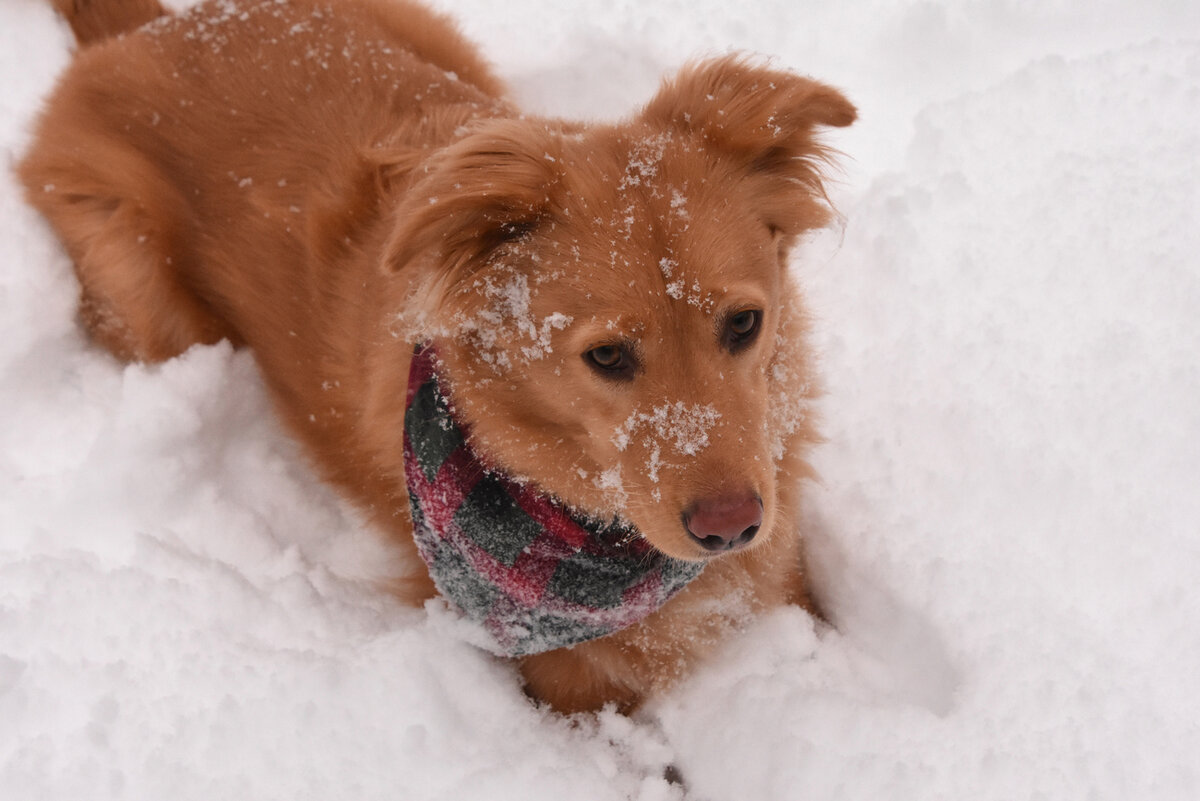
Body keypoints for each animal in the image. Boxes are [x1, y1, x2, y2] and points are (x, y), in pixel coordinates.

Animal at [18, 0, 854, 714]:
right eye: (608, 355)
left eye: (744, 323)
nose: (732, 526)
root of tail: (159, 26)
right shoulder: (559, 680)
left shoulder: (782, 571)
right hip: (141, 283)